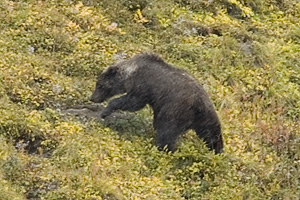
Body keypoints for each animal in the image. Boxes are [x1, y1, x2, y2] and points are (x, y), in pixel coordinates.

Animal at [90, 52, 224, 154]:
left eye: (100, 85)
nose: (92, 98)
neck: (130, 72)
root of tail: (200, 103)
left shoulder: (143, 86)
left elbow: (133, 102)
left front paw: (105, 111)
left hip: (177, 109)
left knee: (167, 131)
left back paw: (163, 149)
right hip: (204, 116)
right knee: (211, 132)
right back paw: (218, 151)